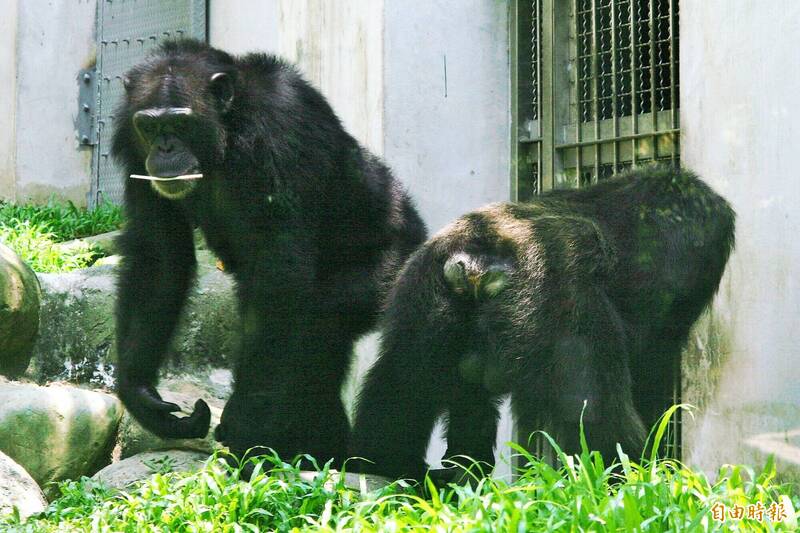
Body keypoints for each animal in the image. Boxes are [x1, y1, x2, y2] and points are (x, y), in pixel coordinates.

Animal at [112, 40, 428, 466]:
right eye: (148, 125)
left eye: (179, 124)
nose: (164, 147)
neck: (224, 135)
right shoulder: (132, 147)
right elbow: (158, 255)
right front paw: (142, 395)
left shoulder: (280, 124)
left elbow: (279, 271)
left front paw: (245, 421)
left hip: (391, 266)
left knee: (317, 329)